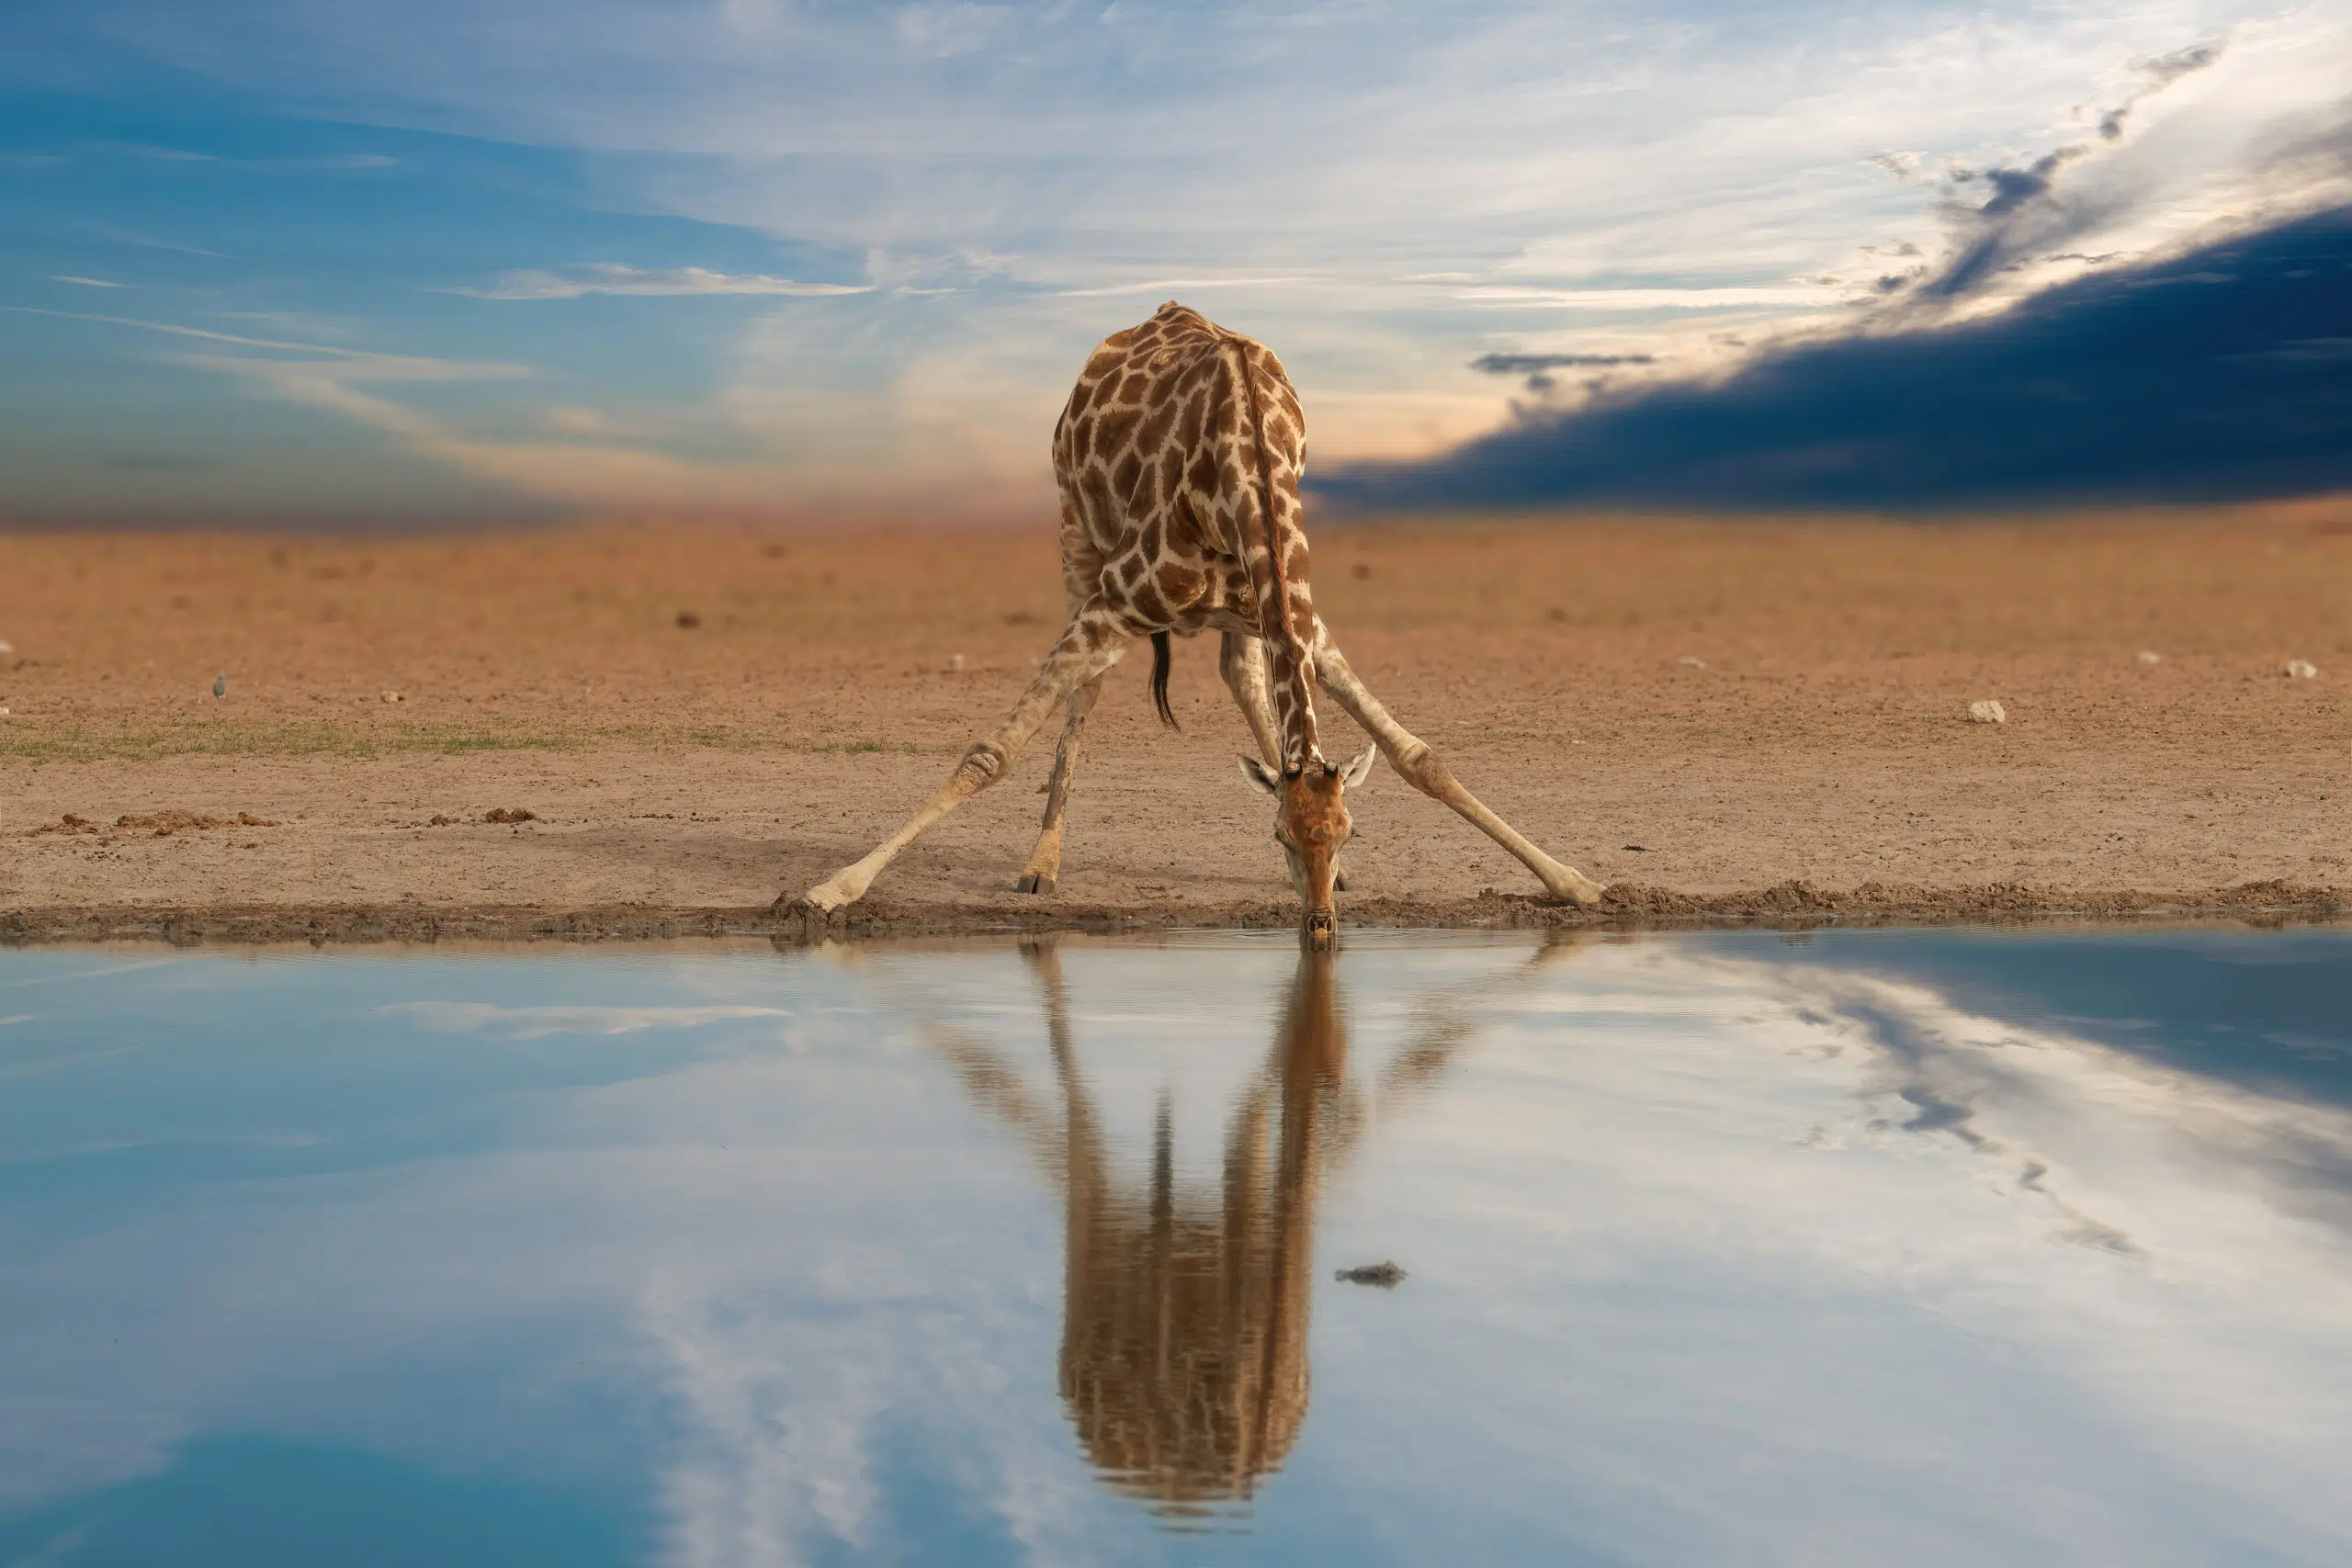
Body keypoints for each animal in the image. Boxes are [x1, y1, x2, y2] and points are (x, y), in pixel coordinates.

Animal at [788, 301, 1604, 940]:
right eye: (1276, 836)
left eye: (1349, 831)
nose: (1319, 925)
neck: (1242, 461)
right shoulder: (1114, 601)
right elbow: (990, 753)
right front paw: (831, 889)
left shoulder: (1295, 615)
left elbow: (1419, 757)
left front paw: (1576, 882)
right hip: (1076, 538)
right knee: (1086, 693)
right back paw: (1041, 866)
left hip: (1235, 614)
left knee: (1239, 676)